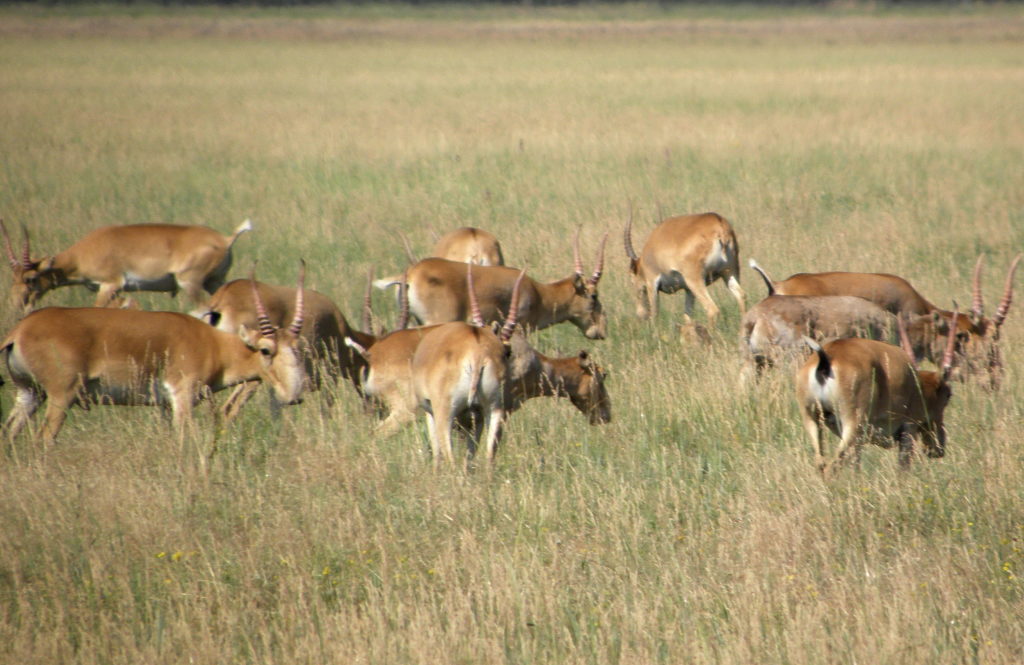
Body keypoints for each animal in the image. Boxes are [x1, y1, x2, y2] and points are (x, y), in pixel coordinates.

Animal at [0, 266, 305, 446]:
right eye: (266, 349)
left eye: (296, 347)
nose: (294, 396)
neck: (210, 341)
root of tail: (19, 331)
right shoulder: (182, 398)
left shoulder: (164, 406)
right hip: (61, 397)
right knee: (43, 438)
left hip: (30, 394)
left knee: (9, 432)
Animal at [1, 218, 252, 311]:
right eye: (13, 278)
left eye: (30, 278)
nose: (17, 304)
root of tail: (225, 239)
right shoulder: (117, 292)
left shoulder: (109, 285)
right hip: (214, 283)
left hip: (190, 284)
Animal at [618, 210, 749, 323]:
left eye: (632, 280)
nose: (640, 315)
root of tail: (719, 225)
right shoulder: (688, 290)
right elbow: (688, 317)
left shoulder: (652, 283)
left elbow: (655, 314)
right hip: (729, 273)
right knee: (741, 296)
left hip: (695, 281)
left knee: (712, 310)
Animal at [790, 313, 958, 477]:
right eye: (948, 395)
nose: (938, 448)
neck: (916, 385)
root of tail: (826, 359)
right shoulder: (908, 430)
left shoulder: (859, 442)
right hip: (852, 425)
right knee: (830, 467)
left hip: (813, 421)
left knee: (821, 463)